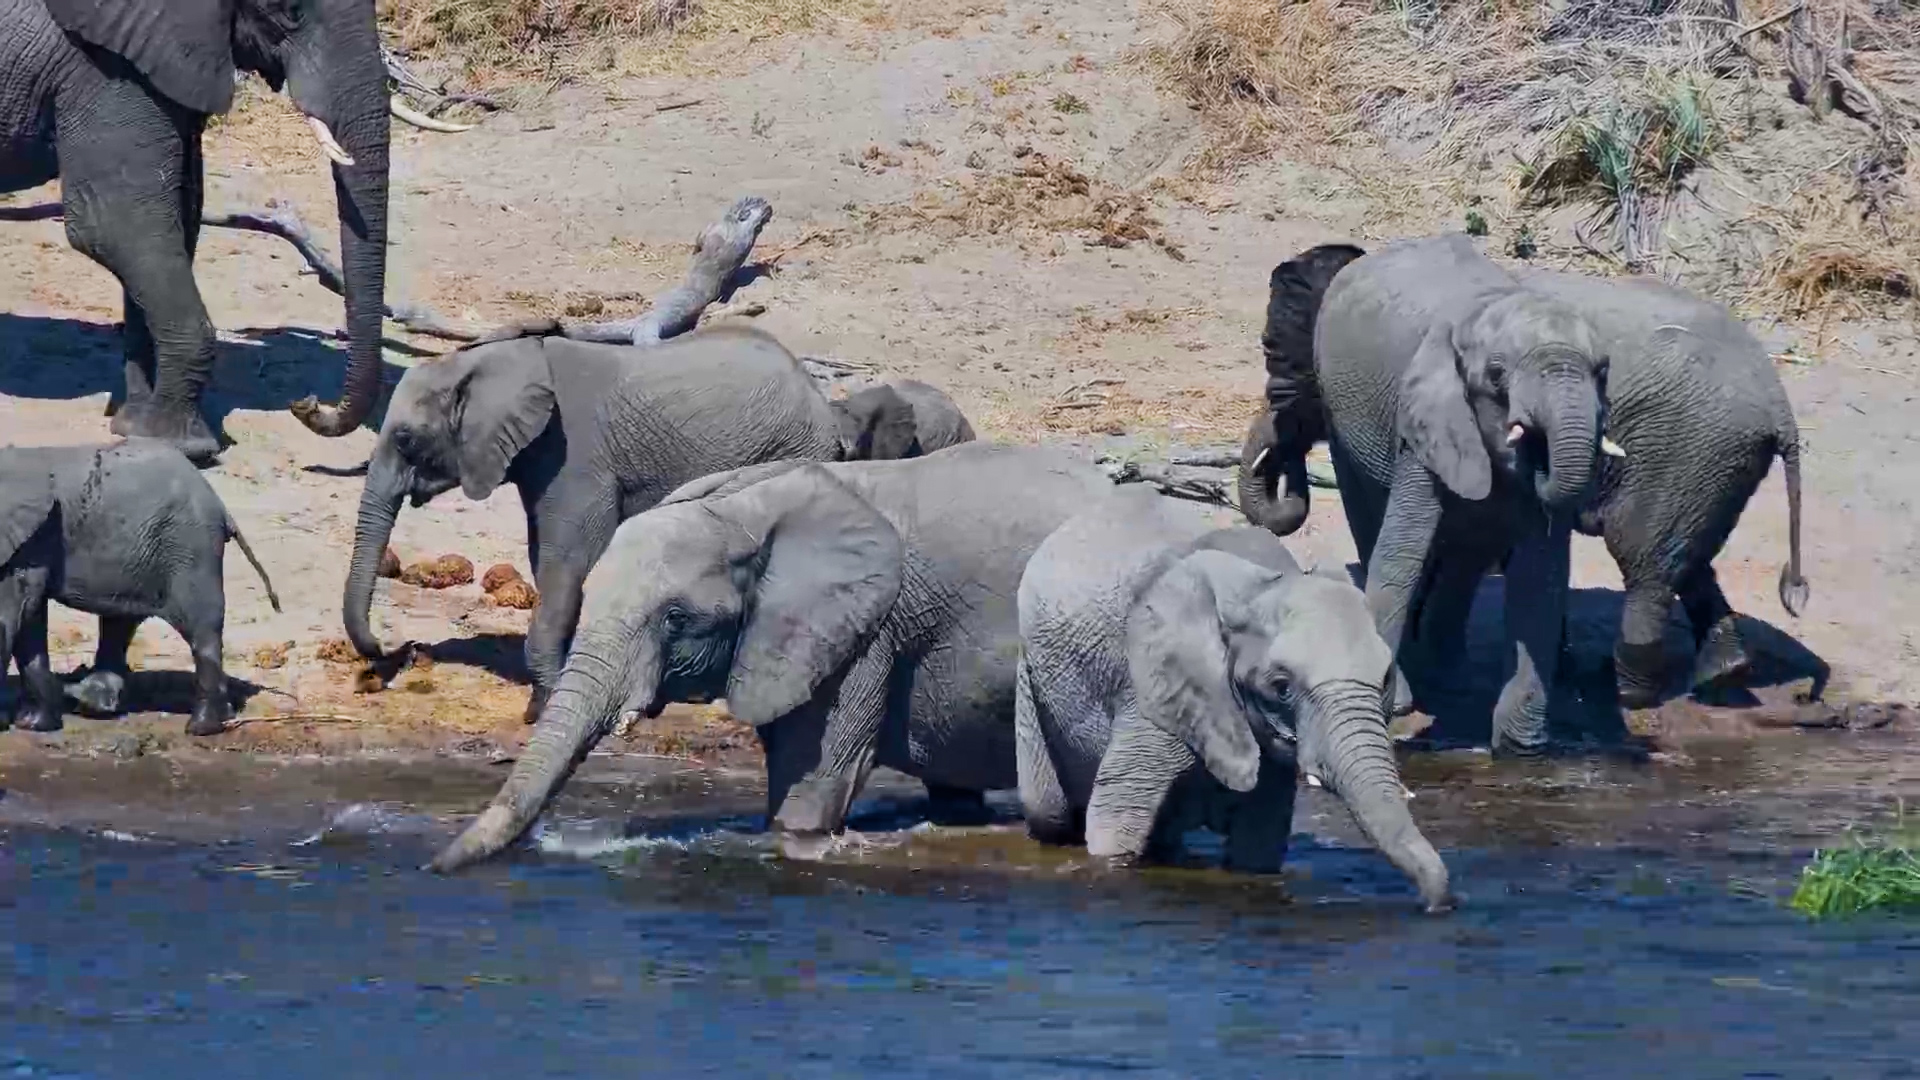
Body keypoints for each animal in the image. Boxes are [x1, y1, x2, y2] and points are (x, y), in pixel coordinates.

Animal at [0, 440, 280, 735]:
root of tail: (221, 507)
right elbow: (28, 618)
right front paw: (33, 724)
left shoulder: (30, 541)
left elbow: (13, 615)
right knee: (119, 622)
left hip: (189, 548)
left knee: (200, 629)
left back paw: (202, 727)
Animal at [1, 0, 394, 463]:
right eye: (290, 11)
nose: (308, 405)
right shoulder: (98, 65)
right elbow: (115, 227)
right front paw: (181, 445)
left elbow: (178, 221)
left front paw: (134, 425)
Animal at [342, 326, 845, 726]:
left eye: (406, 439)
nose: (395, 649)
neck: (489, 361)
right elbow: (545, 555)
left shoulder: (576, 455)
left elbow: (567, 561)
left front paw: (540, 708)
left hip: (793, 449)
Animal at [1014, 488, 1451, 909]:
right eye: (1281, 686)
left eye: (1385, 680)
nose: (1436, 907)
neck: (1262, 587)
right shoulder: (1149, 688)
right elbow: (1117, 818)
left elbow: (1259, 842)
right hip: (1030, 674)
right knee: (1049, 811)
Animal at [1245, 233, 1617, 754]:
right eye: (1497, 376)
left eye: (1603, 371)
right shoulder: (1418, 421)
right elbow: (1400, 554)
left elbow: (1540, 575)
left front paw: (1521, 751)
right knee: (1376, 526)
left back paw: (1451, 677)